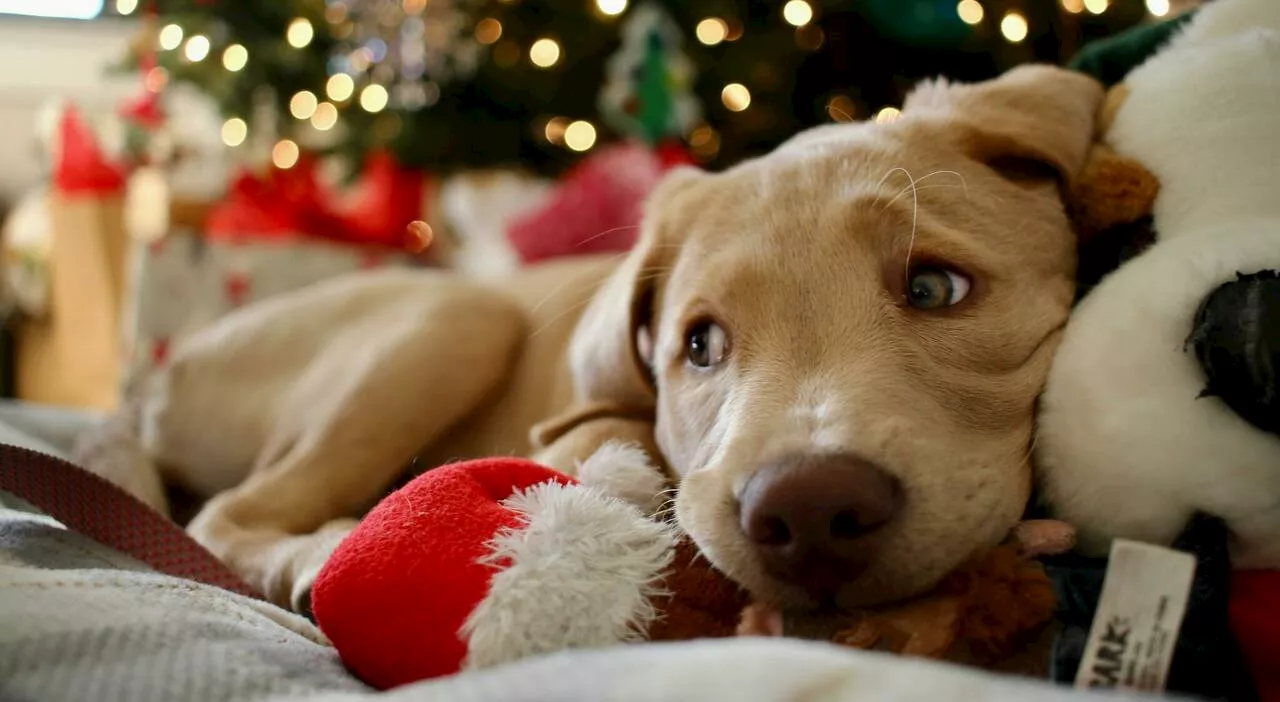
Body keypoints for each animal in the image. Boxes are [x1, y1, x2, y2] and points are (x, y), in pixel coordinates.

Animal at [77, 64, 1100, 614]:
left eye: (934, 288)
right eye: (700, 346)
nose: (808, 512)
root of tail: (152, 386)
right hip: (451, 320)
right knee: (227, 516)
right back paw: (327, 552)